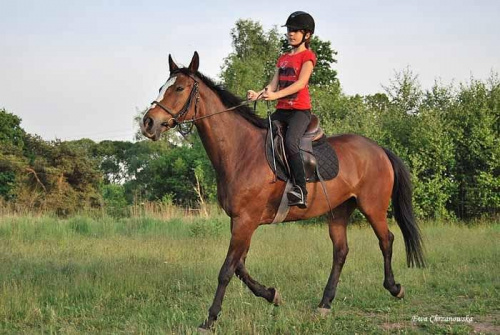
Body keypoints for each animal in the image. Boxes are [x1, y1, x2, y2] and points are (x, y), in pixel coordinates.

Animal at [141, 51, 426, 330]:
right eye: (161, 87)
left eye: (179, 88)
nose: (148, 123)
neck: (241, 150)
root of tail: (379, 149)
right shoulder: (241, 221)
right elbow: (239, 267)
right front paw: (272, 295)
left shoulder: (246, 221)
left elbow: (227, 270)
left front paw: (209, 319)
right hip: (338, 211)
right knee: (341, 251)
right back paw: (325, 304)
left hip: (373, 206)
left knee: (386, 239)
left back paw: (394, 288)